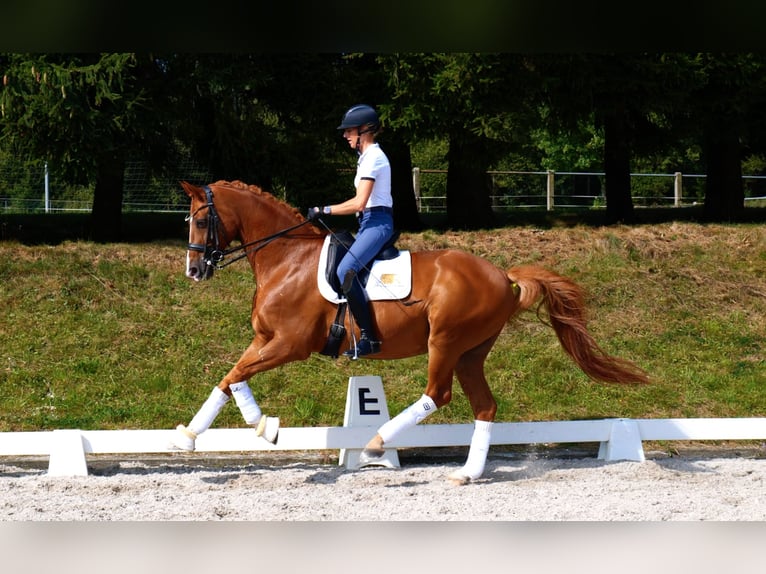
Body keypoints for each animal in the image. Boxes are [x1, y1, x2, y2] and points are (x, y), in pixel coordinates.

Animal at [171, 181, 652, 486]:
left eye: (200, 221)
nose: (194, 271)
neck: (287, 259)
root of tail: (502, 275)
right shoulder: (264, 340)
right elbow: (230, 378)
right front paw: (202, 435)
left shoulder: (291, 344)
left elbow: (237, 375)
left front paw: (259, 428)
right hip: (470, 352)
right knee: (485, 405)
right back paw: (467, 473)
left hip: (445, 342)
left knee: (437, 395)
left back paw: (375, 445)